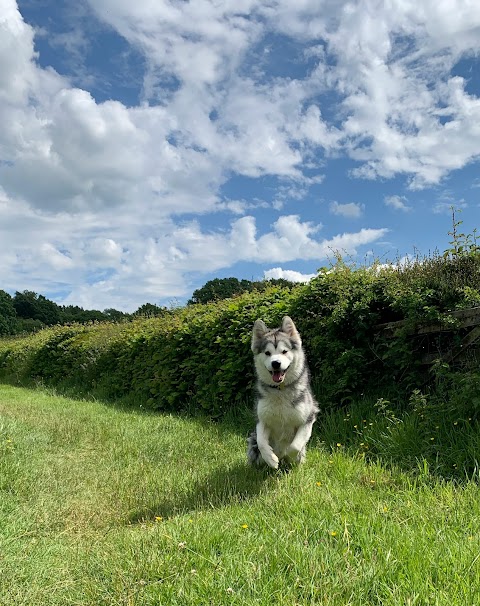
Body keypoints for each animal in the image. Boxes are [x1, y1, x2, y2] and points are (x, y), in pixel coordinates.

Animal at [248, 318, 318, 470]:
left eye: (284, 351)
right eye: (267, 353)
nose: (276, 363)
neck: (280, 390)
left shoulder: (308, 418)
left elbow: (295, 446)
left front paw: (289, 456)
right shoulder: (262, 419)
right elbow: (262, 442)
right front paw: (272, 459)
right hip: (252, 442)